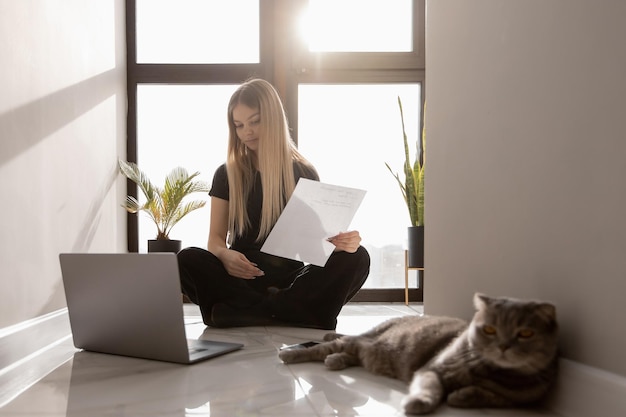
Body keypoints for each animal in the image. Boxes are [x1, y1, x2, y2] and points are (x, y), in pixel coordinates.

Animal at [278, 292, 556, 412]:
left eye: (525, 334)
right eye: (489, 329)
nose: (503, 345)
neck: (488, 371)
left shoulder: (519, 397)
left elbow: (492, 396)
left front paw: (464, 396)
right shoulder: (430, 370)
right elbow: (430, 389)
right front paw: (420, 402)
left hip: (365, 347)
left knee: (349, 350)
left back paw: (335, 360)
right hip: (364, 340)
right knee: (330, 344)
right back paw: (292, 354)